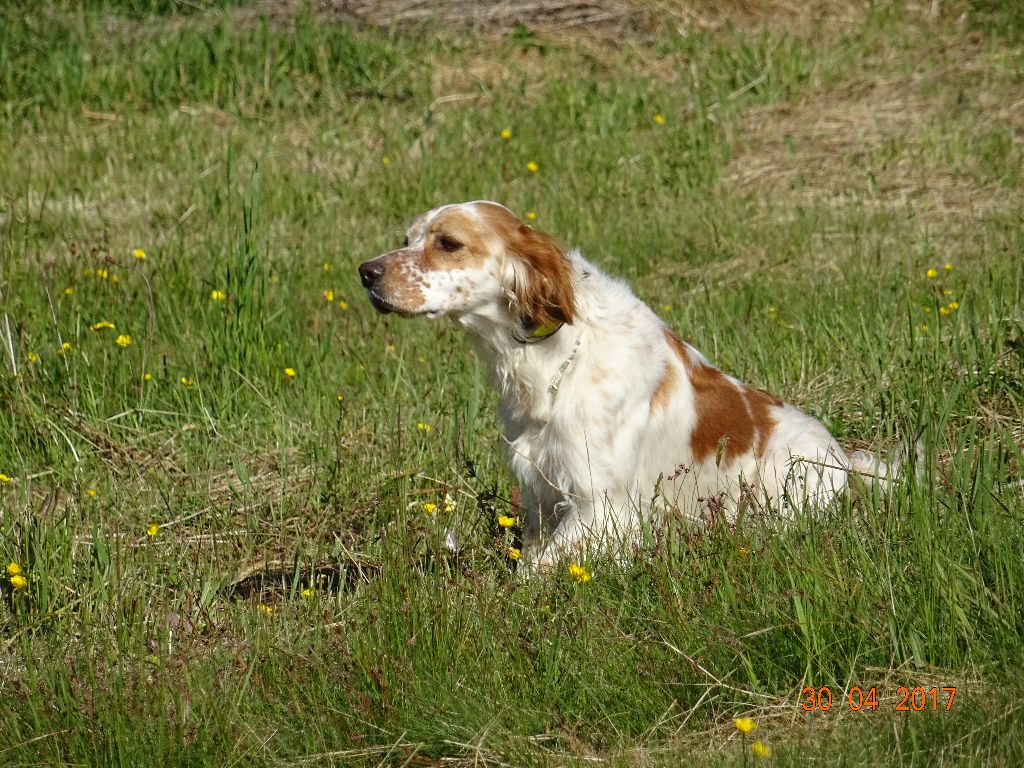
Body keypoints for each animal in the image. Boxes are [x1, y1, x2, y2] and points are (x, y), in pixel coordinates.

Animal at [360, 201, 888, 569]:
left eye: (448, 243)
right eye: (406, 238)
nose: (366, 272)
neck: (548, 363)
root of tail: (848, 460)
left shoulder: (603, 506)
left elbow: (530, 575)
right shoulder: (541, 497)